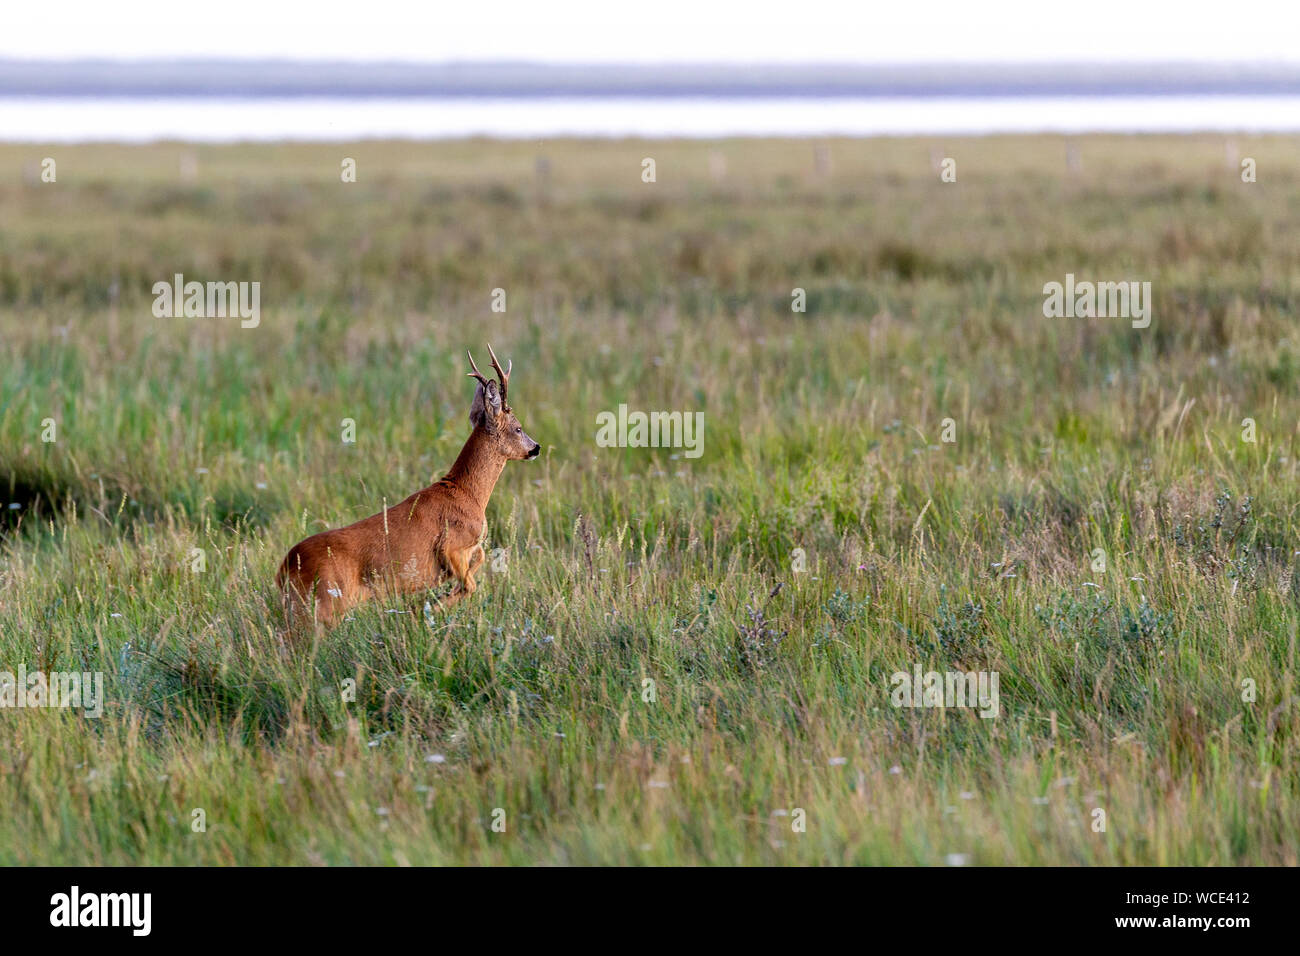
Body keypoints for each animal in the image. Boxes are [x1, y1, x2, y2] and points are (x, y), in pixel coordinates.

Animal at [274, 345, 538, 634]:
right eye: (518, 428)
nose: (536, 447)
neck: (468, 494)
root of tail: (285, 567)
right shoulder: (451, 545)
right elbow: (470, 585)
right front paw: (425, 610)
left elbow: (476, 564)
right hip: (325, 602)